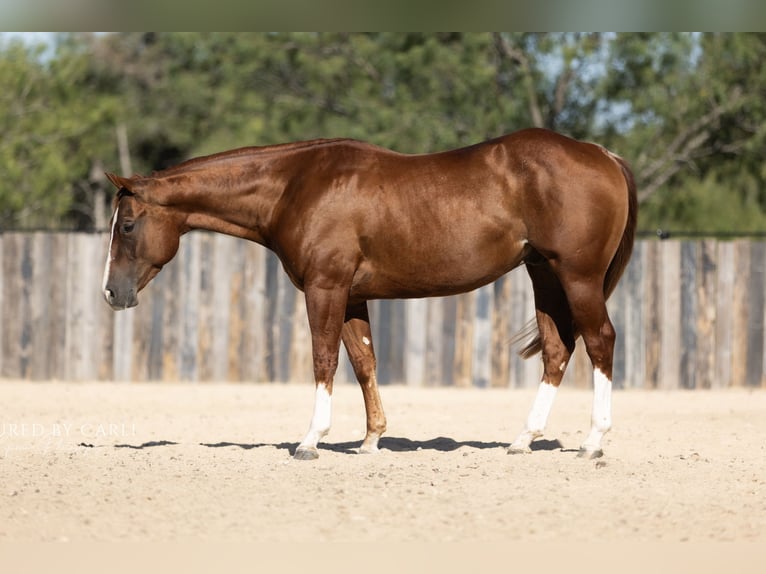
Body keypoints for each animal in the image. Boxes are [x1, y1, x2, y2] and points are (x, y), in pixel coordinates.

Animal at [102, 128, 637, 460]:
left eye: (127, 225)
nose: (111, 293)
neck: (295, 186)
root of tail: (603, 155)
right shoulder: (353, 296)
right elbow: (363, 362)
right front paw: (371, 440)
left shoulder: (325, 288)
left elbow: (324, 360)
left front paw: (311, 440)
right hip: (543, 275)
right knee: (557, 350)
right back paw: (523, 439)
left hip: (578, 277)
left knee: (600, 341)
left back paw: (593, 441)